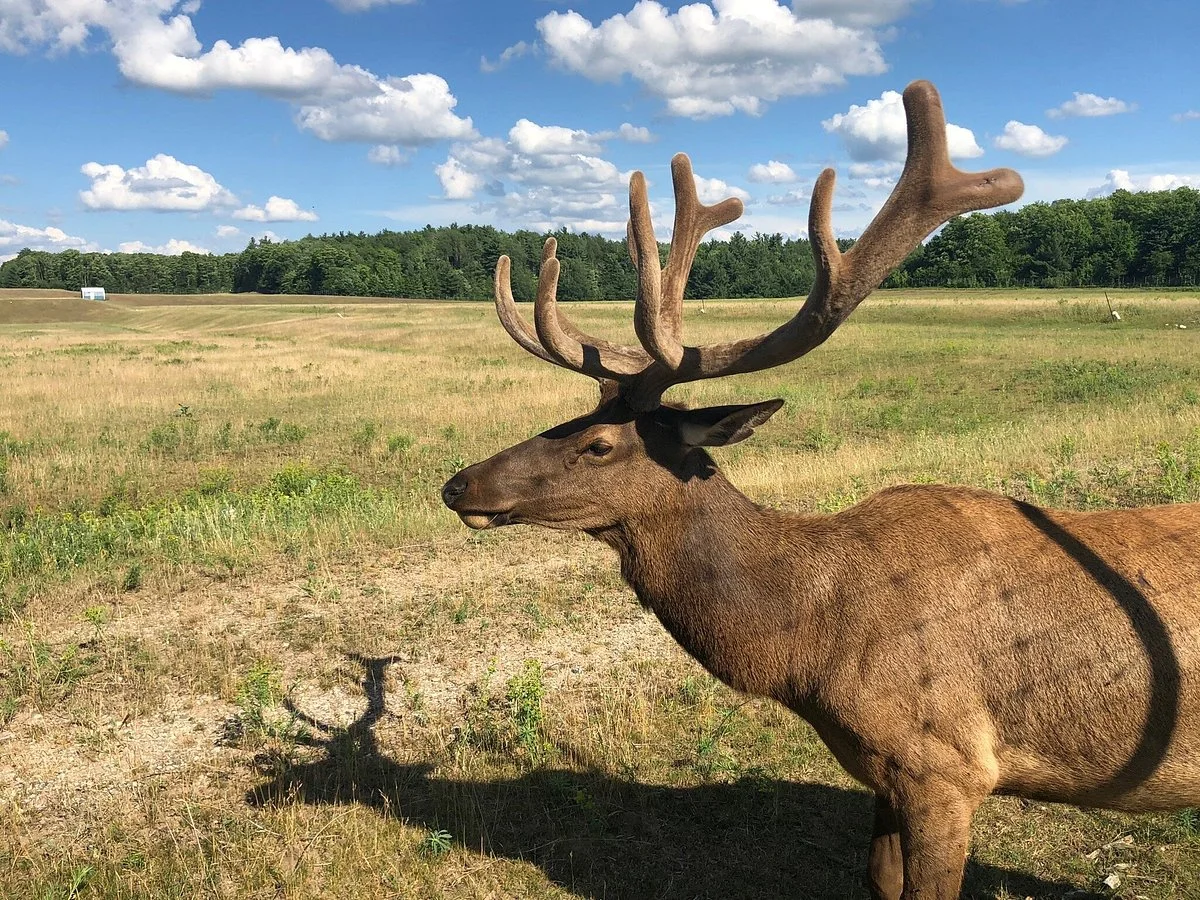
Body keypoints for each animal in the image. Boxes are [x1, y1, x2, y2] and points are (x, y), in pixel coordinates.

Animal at [440, 81, 1200, 899]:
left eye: (600, 445)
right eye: (568, 419)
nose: (458, 484)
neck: (808, 644)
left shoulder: (947, 767)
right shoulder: (888, 776)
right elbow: (879, 882)